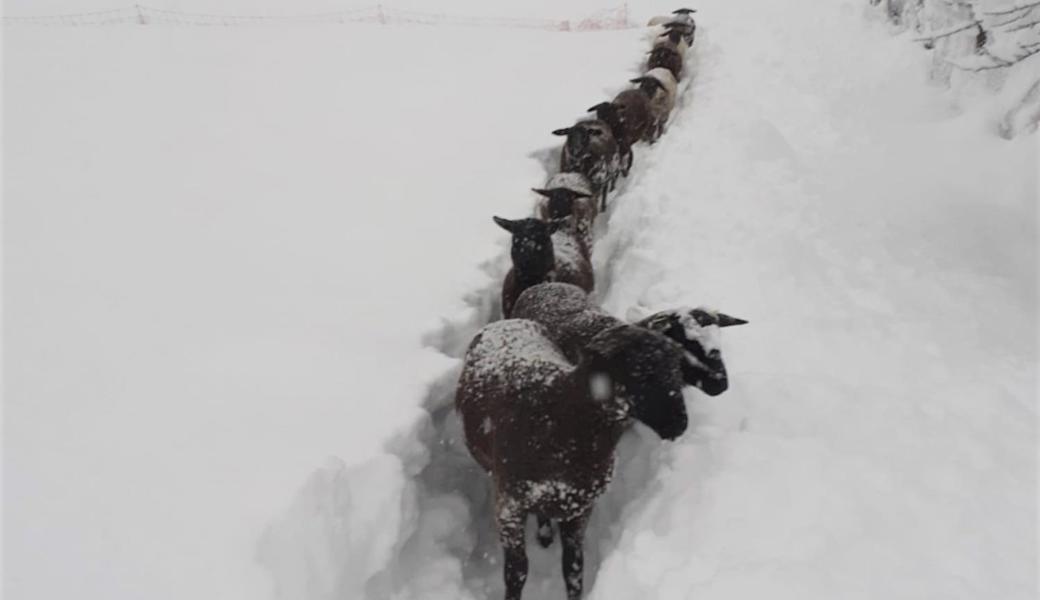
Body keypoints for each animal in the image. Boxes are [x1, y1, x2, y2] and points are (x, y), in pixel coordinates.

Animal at [457, 318, 690, 598]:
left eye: (675, 367)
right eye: (640, 371)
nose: (680, 424)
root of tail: (508, 321)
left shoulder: (580, 508)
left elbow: (573, 566)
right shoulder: (508, 505)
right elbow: (517, 571)